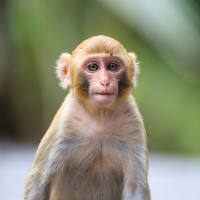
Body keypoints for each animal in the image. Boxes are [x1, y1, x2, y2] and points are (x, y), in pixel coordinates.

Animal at [24, 35, 151, 199]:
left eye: (112, 66)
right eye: (92, 67)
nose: (105, 81)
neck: (101, 117)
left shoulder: (133, 119)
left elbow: (135, 186)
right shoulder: (65, 119)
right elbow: (39, 180)